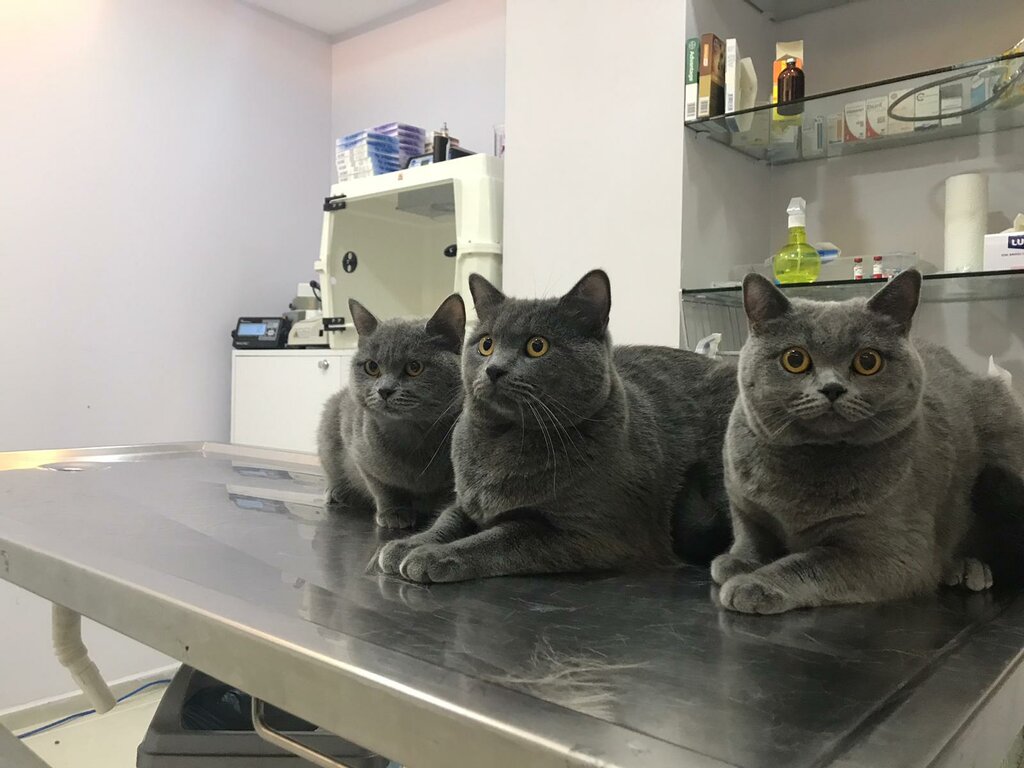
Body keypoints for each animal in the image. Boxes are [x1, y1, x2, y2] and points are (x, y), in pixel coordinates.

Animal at [317, 294, 465, 529]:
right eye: (372, 367)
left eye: (414, 367)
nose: (384, 390)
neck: (413, 435)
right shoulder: (361, 455)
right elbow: (383, 486)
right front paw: (393, 513)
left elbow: (448, 493)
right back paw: (337, 493)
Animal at [377, 269, 736, 582]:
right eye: (486, 344)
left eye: (537, 346)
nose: (493, 369)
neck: (499, 442)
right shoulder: (467, 500)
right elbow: (447, 518)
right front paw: (405, 545)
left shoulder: (590, 535)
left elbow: (502, 538)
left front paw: (432, 557)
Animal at [712, 269, 1024, 614]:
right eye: (794, 359)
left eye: (868, 361)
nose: (832, 388)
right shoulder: (741, 500)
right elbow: (749, 533)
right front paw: (737, 561)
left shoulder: (895, 555)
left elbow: (810, 563)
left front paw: (753, 584)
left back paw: (968, 567)